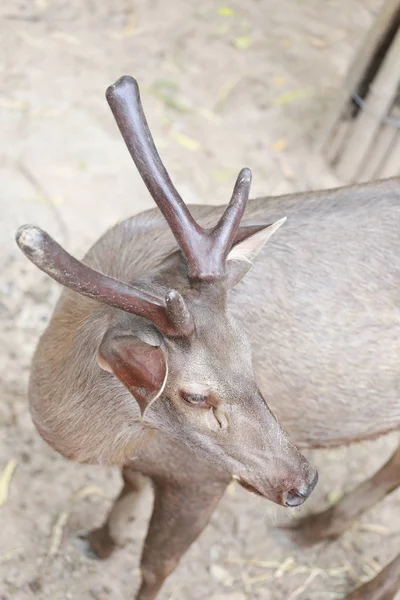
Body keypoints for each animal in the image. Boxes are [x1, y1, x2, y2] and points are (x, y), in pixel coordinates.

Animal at [17, 76, 400, 600]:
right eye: (196, 395)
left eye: (249, 355)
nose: (303, 483)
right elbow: (131, 485)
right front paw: (102, 539)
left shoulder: (204, 474)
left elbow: (156, 567)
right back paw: (311, 531)